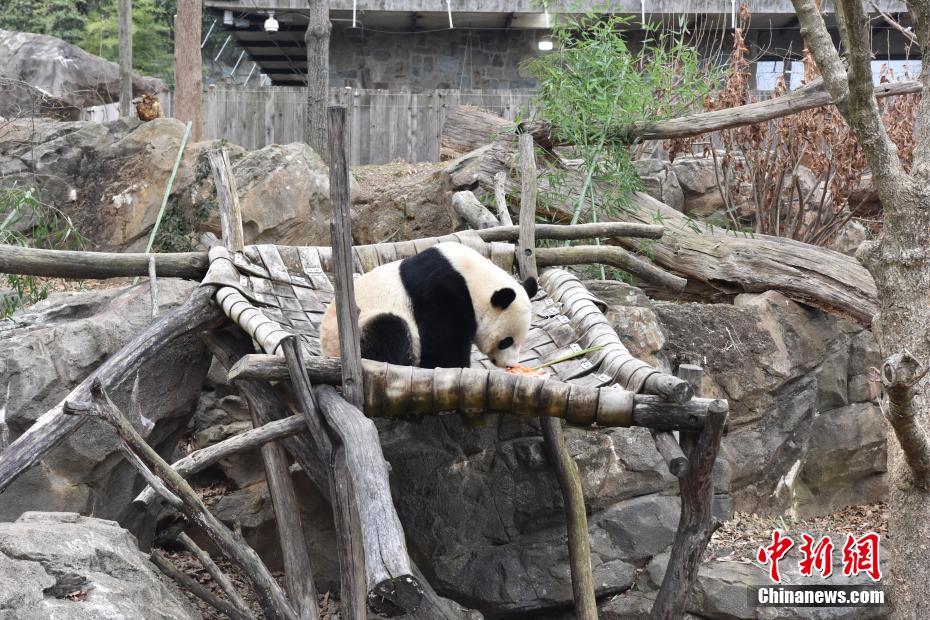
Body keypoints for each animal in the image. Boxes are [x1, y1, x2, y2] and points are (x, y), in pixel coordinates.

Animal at [319, 242, 538, 369]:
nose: (510, 365)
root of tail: (327, 353)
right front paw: (454, 367)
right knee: (388, 330)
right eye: (506, 342)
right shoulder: (442, 289)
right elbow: (444, 341)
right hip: (355, 329)